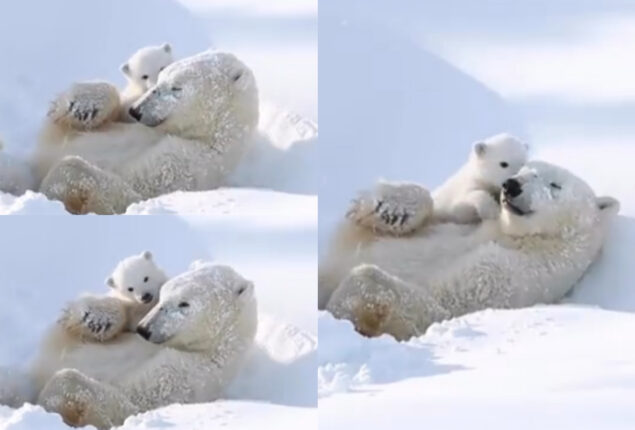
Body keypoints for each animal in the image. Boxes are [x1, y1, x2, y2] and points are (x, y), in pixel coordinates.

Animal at [3, 264, 256, 428]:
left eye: (184, 303)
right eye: (163, 295)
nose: (145, 329)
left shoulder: (190, 376)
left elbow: (128, 402)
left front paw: (49, 405)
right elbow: (67, 336)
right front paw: (94, 318)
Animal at [31, 49, 260, 214]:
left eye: (176, 87)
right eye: (160, 79)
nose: (137, 110)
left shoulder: (186, 165)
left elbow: (128, 194)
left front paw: (50, 193)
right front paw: (83, 106)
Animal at [320, 160, 620, 340]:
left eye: (554, 184)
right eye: (524, 170)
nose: (511, 185)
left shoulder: (514, 276)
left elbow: (437, 306)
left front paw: (340, 311)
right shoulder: (461, 223)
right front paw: (389, 208)